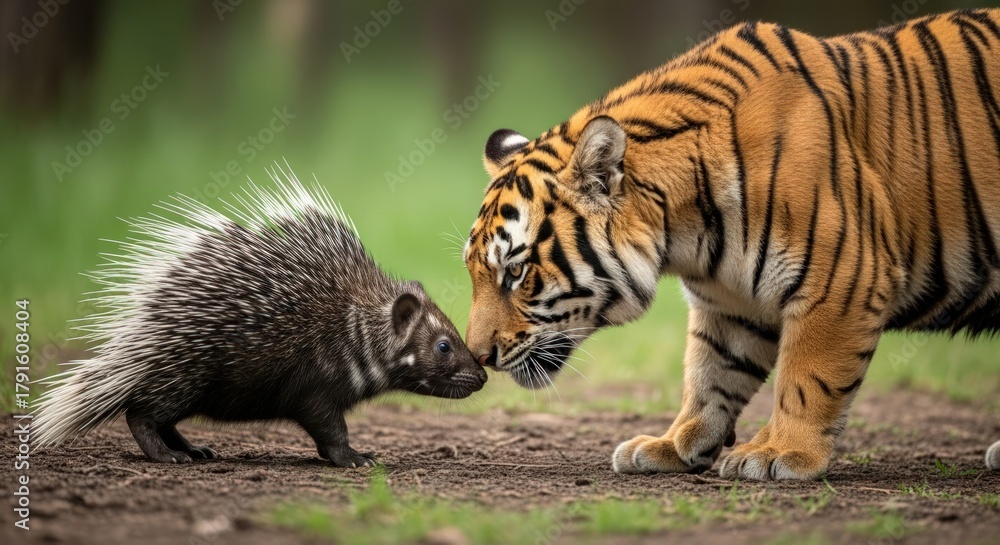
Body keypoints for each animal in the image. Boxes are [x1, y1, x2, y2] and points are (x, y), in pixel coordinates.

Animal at [461, 8, 1000, 480]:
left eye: (516, 272)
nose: (479, 357)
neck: (686, 232)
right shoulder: (729, 300)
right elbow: (711, 373)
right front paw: (674, 444)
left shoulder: (844, 278)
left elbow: (808, 375)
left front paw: (780, 453)